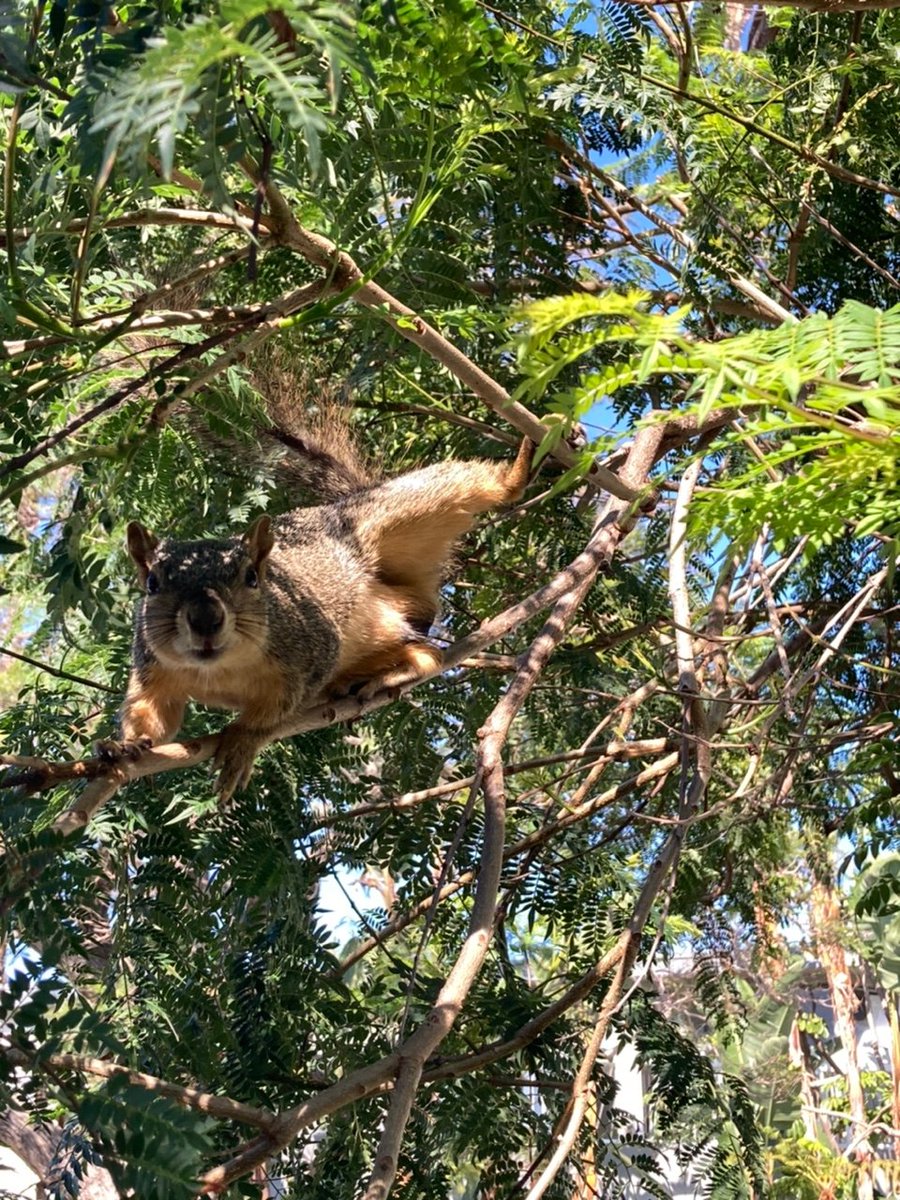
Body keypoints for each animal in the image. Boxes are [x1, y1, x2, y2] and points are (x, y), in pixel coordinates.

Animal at [99, 418, 533, 801]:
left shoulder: (310, 652)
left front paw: (243, 739)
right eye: (153, 584)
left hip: (393, 512)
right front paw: (127, 746)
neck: (219, 669)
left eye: (252, 577)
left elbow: (279, 711)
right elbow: (155, 713)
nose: (206, 619)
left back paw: (517, 469)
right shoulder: (154, 668)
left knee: (460, 486)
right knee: (425, 654)